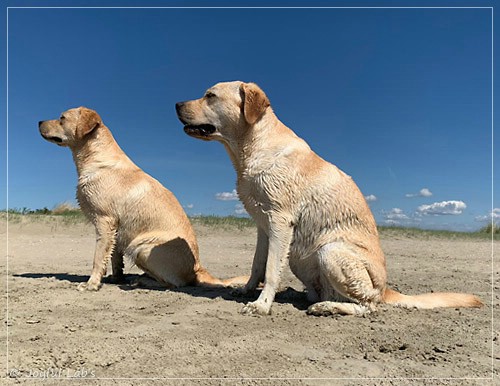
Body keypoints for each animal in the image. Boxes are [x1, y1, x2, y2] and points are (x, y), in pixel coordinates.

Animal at [38, 107, 243, 292]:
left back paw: (142, 280)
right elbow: (114, 257)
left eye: (62, 118)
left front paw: (92, 284)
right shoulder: (116, 229)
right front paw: (115, 278)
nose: (39, 122)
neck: (96, 158)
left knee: (175, 284)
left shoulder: (105, 221)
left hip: (141, 247)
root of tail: (198, 269)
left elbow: (98, 258)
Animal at [177, 81, 484, 316]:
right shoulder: (263, 226)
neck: (250, 147)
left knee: (367, 306)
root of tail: (386, 290)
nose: (177, 104)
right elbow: (257, 265)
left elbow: (272, 270)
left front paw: (262, 305)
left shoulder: (280, 221)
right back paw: (310, 297)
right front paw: (246, 290)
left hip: (330, 251)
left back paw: (327, 308)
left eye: (210, 95)